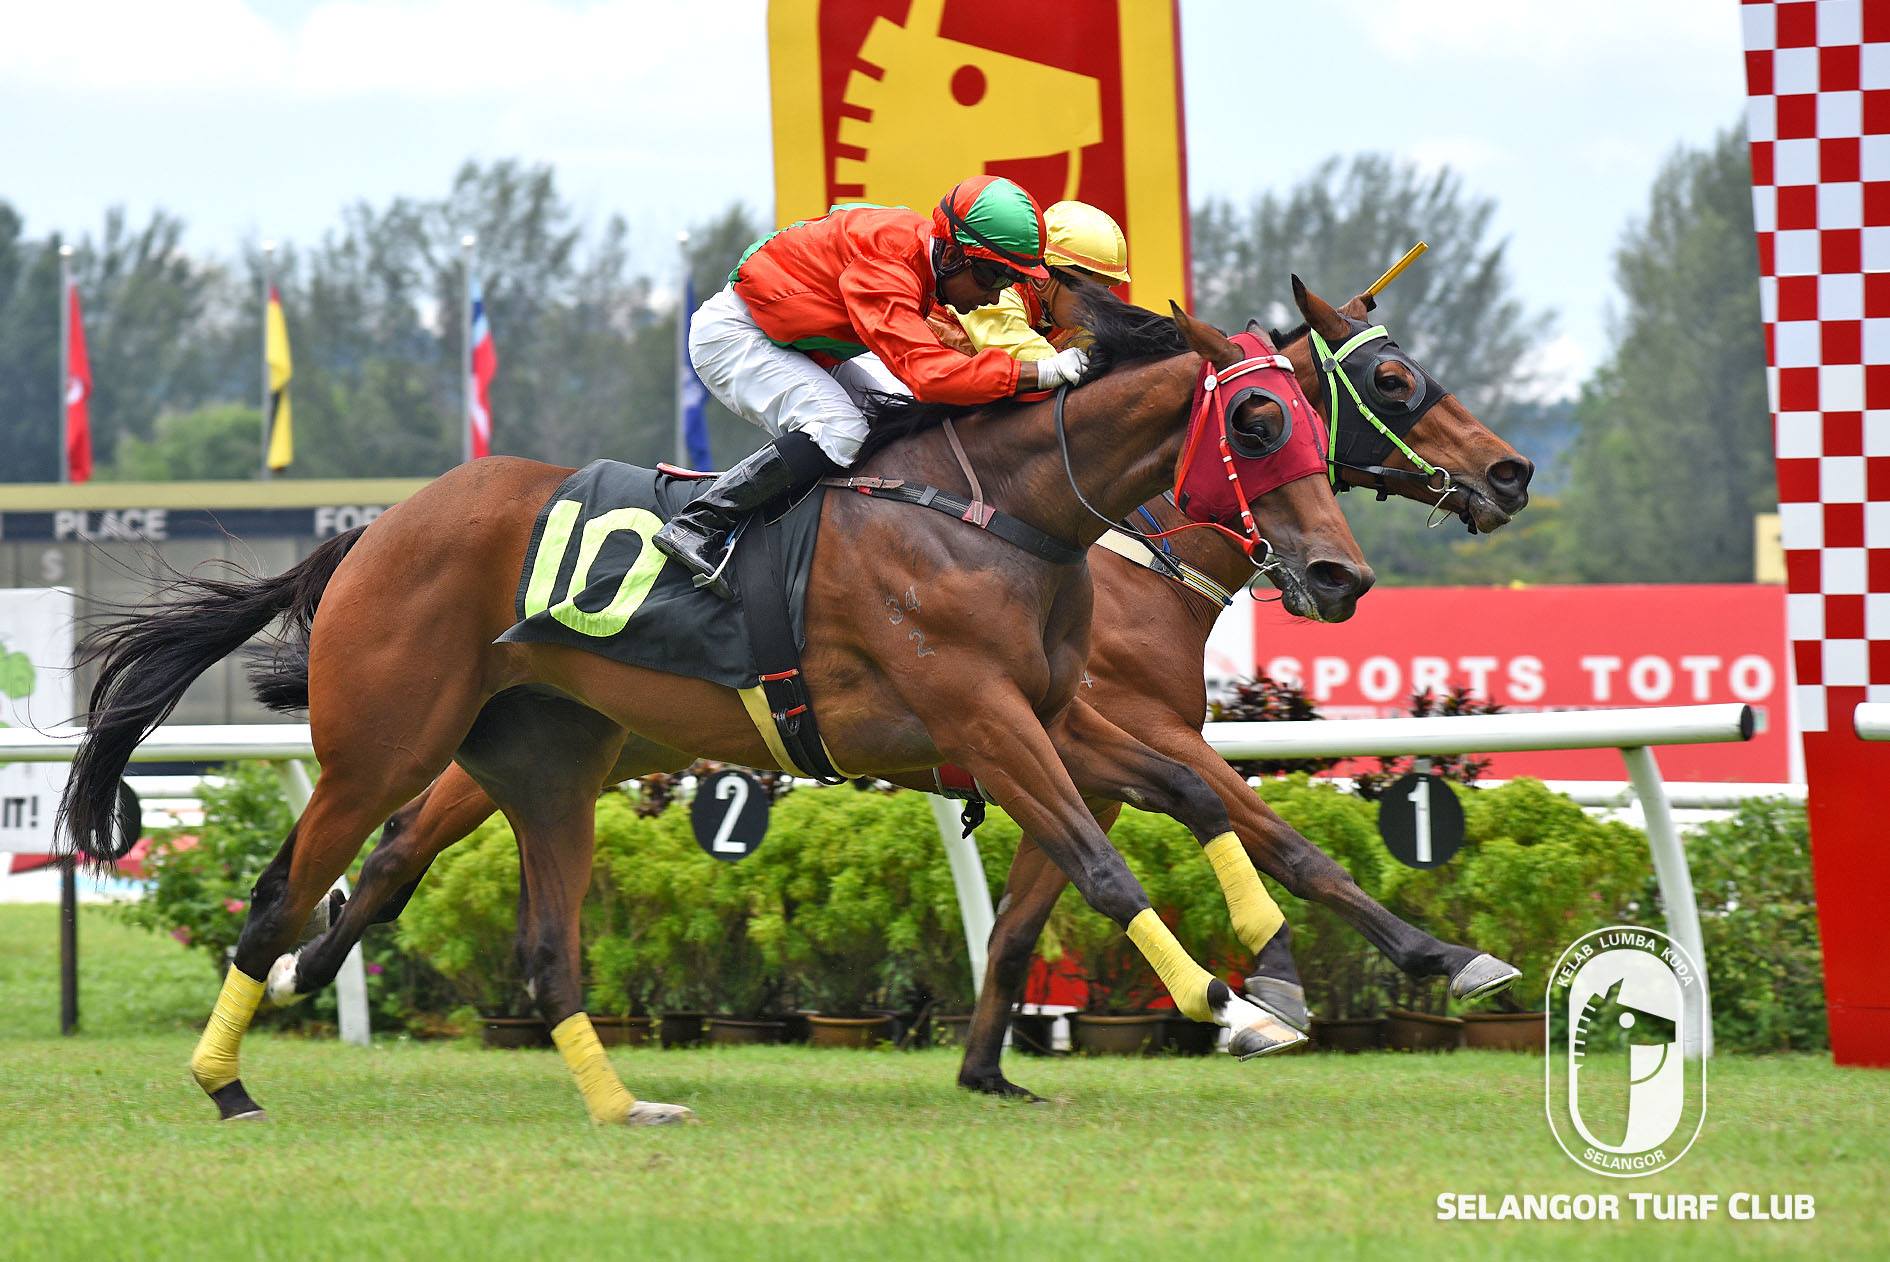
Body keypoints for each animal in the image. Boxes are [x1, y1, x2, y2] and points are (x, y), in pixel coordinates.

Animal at [62, 292, 1375, 1125]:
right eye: (1257, 419)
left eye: (1321, 418)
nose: (1339, 575)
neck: (994, 510)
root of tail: (374, 528)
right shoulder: (981, 716)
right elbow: (1104, 864)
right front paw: (1230, 1003)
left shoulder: (1054, 717)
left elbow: (1188, 798)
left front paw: (1282, 979)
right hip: (382, 741)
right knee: (287, 888)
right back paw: (230, 1073)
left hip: (543, 756)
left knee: (495, 917)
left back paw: (610, 1099)